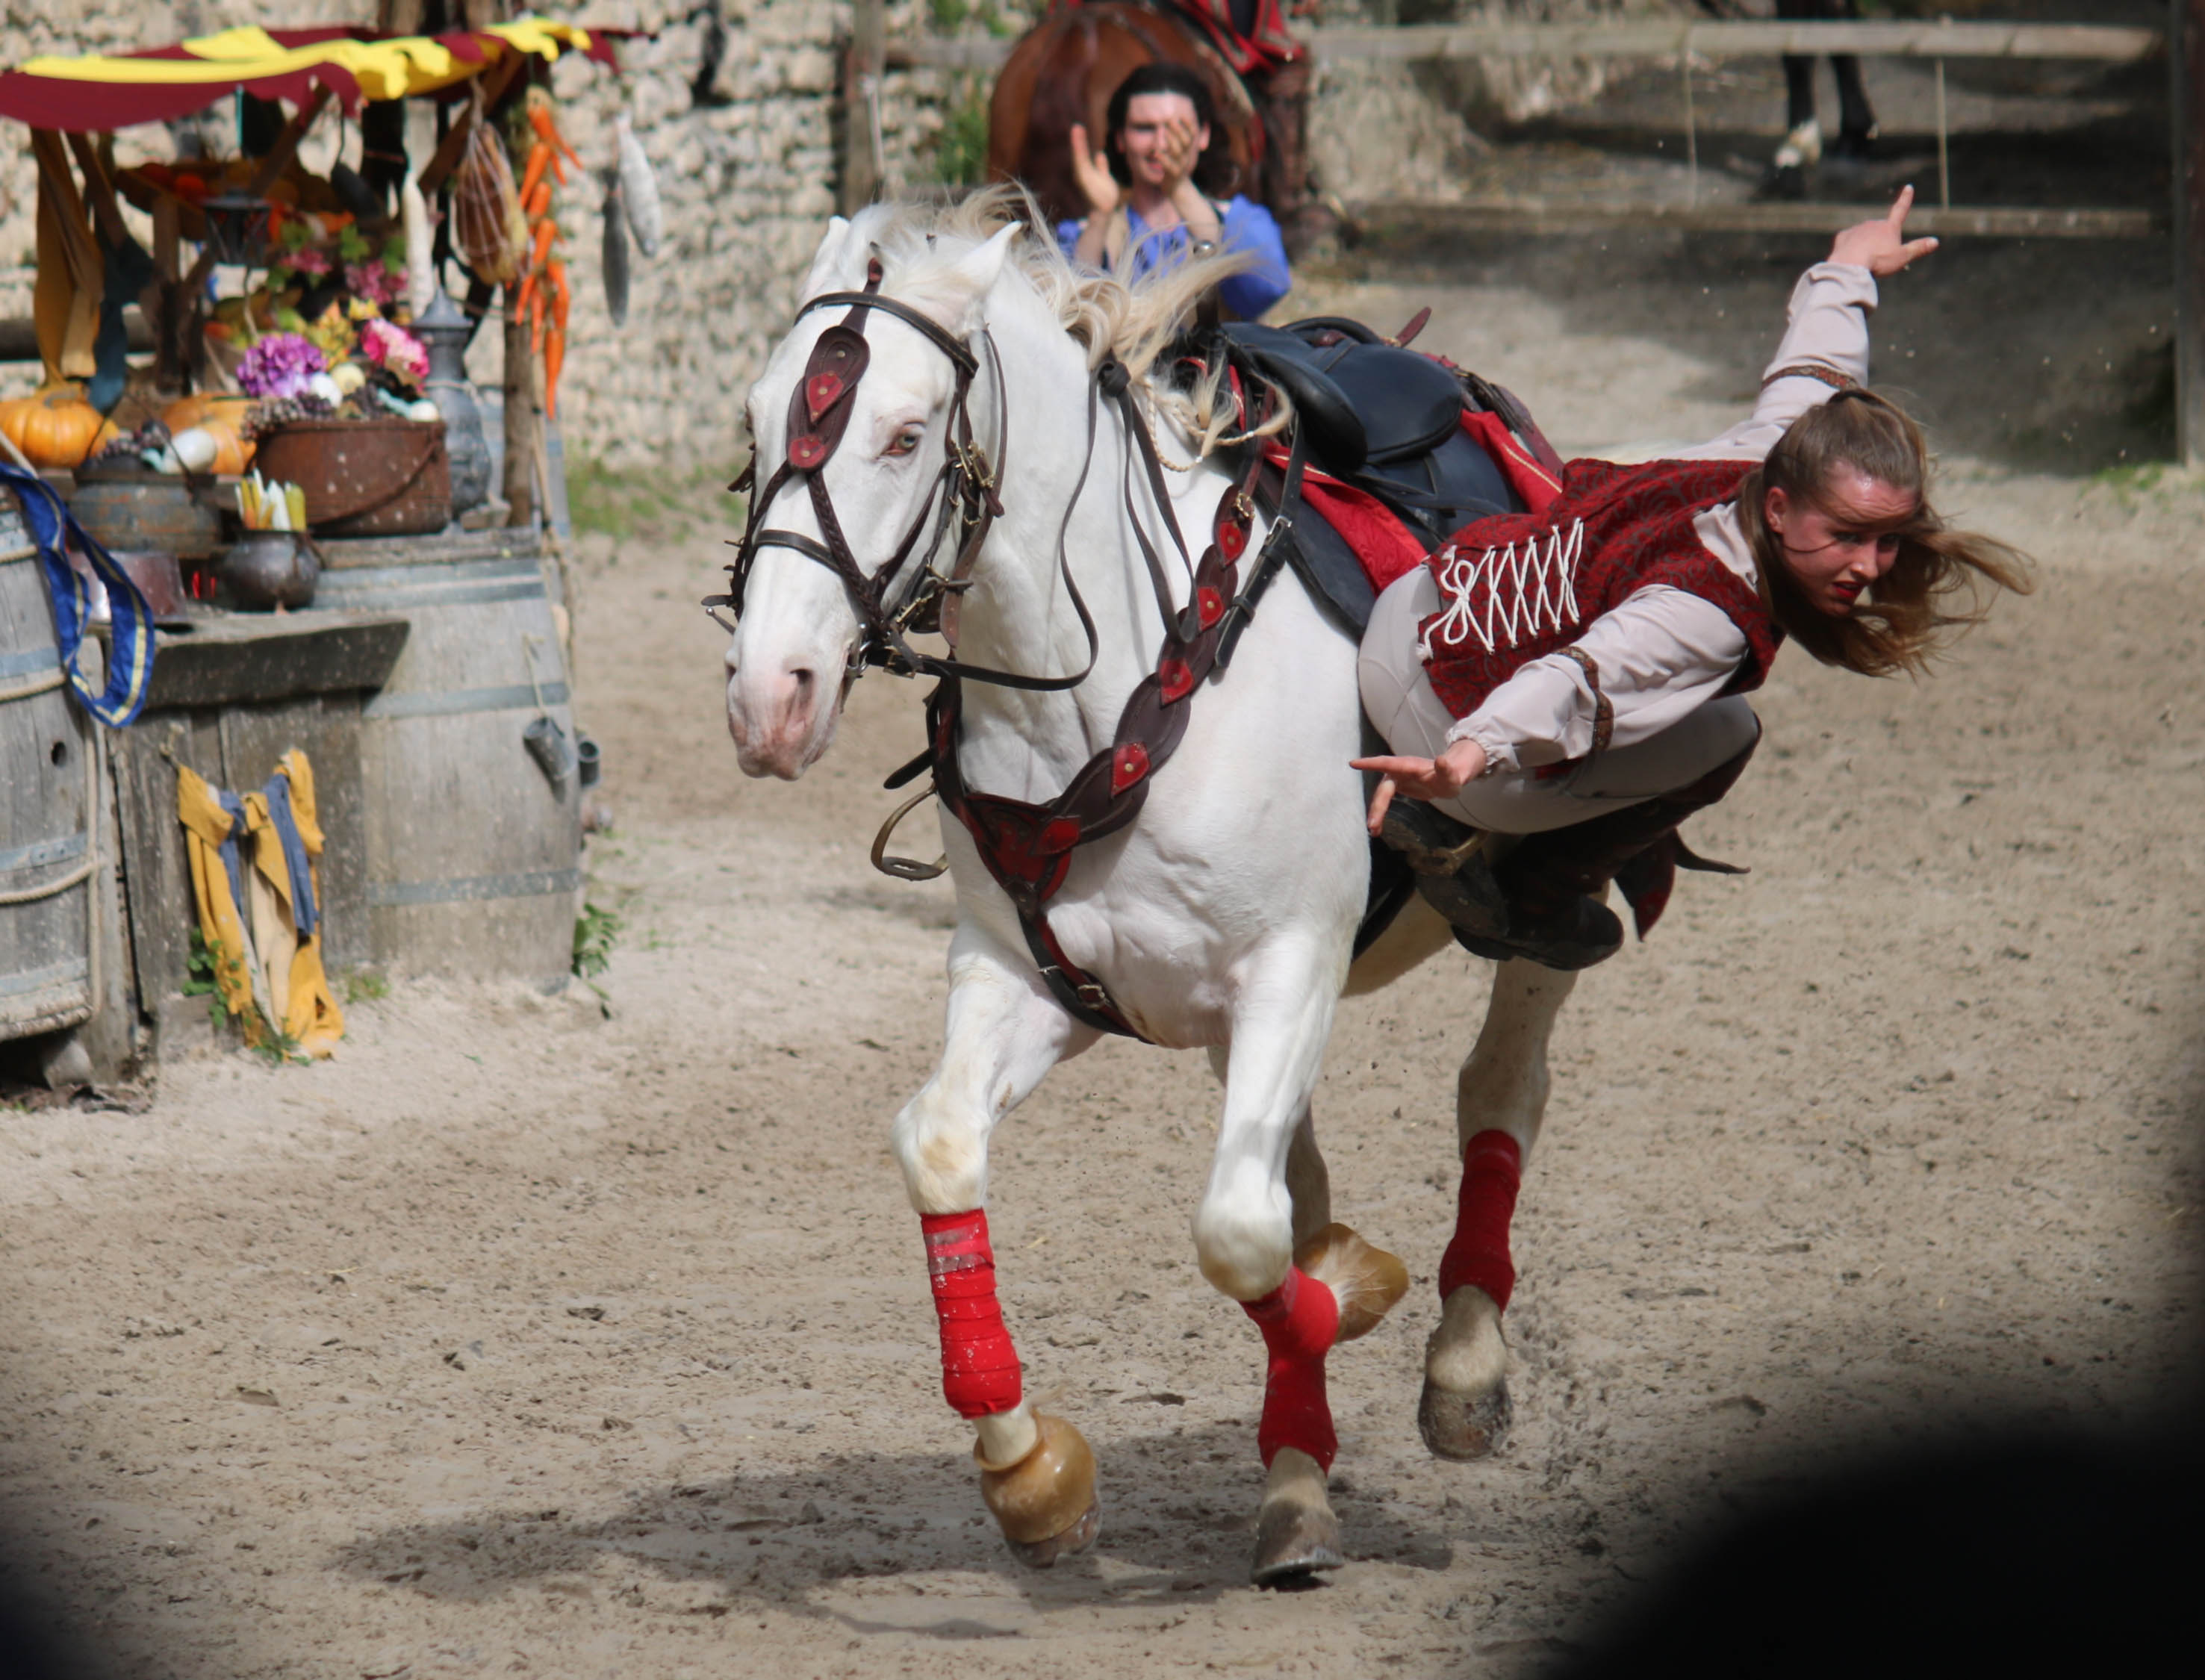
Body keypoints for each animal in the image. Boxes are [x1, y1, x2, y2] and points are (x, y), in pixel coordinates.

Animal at [718, 189, 1578, 1584]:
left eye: (903, 435)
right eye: (752, 426)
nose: (768, 695)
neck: (1121, 693)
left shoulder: (1290, 966)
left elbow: (1239, 1232)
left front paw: (1349, 1308)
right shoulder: (1030, 977)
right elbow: (942, 1150)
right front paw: (1029, 1473)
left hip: (1548, 896)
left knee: (1498, 1085)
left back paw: (1462, 1362)